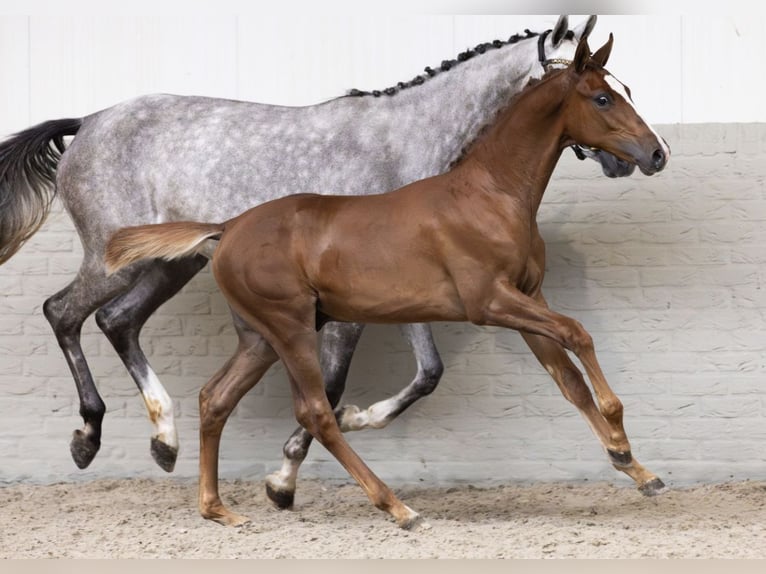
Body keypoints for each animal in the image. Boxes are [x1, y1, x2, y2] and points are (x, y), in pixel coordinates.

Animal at [0, 15, 631, 507]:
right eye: (597, 91)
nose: (635, 159)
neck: (404, 144)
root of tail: (89, 121)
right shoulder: (350, 307)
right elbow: (328, 386)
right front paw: (284, 481)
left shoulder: (409, 288)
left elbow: (427, 372)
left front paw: (341, 433)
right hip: (116, 261)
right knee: (63, 313)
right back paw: (88, 437)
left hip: (169, 265)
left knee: (118, 321)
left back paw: (165, 441)